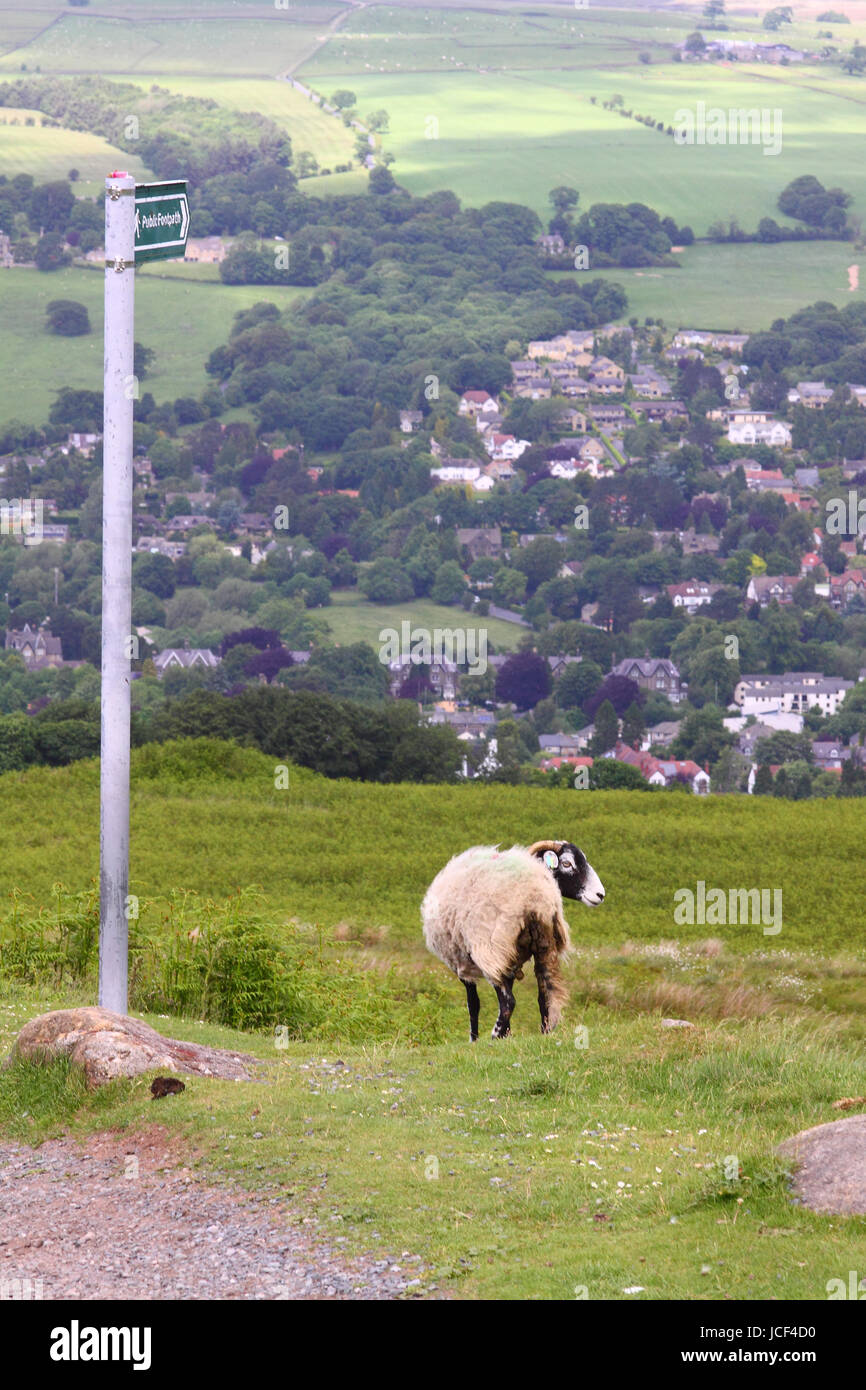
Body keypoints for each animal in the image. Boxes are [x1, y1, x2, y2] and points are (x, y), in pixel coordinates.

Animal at [422, 834, 606, 1045]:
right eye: (567, 863)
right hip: (541, 947)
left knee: (508, 1002)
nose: (600, 894)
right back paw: (543, 1032)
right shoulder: (508, 960)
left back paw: (495, 1034)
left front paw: (476, 1039)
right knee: (543, 997)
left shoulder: (462, 962)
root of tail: (535, 897)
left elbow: (473, 1004)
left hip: (491, 950)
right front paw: (506, 1035)